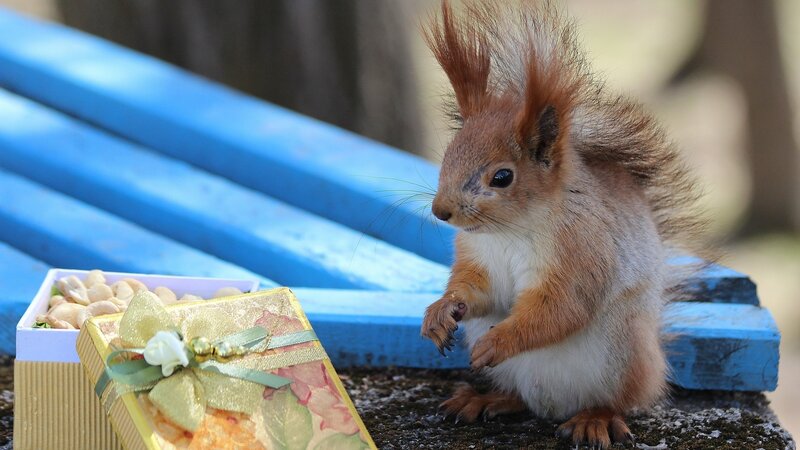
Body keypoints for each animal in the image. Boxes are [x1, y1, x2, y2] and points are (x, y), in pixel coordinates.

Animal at [420, 1, 708, 448]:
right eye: (448, 154)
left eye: (502, 177)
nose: (441, 211)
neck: (510, 232)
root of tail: (554, 407)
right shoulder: (478, 257)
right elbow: (481, 292)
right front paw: (441, 311)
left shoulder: (582, 250)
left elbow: (560, 309)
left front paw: (498, 340)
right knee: (519, 398)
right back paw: (486, 399)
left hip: (623, 354)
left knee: (618, 400)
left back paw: (595, 419)